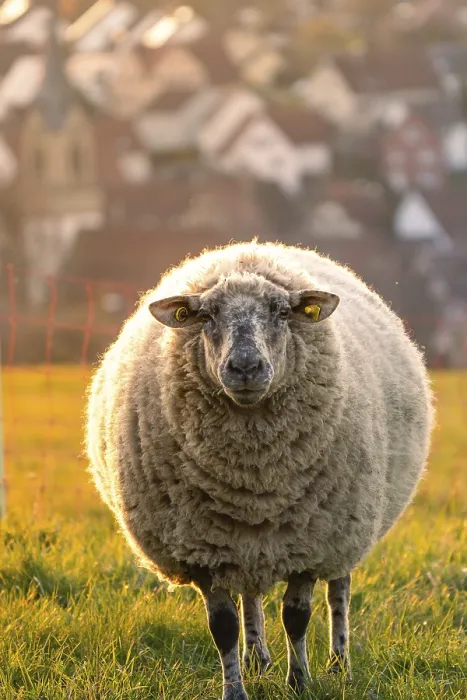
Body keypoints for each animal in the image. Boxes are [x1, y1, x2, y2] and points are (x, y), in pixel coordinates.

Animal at [86, 240, 434, 699]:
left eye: (282, 312)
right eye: (206, 315)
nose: (246, 367)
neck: (253, 477)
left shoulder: (310, 544)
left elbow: (297, 617)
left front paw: (300, 682)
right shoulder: (204, 551)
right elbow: (222, 628)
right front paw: (234, 689)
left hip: (347, 528)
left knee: (338, 593)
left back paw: (339, 663)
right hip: (245, 543)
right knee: (249, 595)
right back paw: (256, 658)